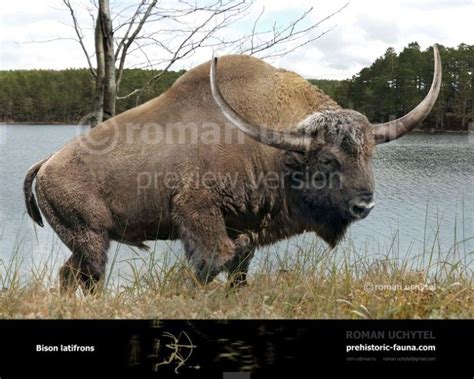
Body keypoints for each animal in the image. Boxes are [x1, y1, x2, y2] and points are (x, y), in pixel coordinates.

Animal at [25, 45, 440, 294]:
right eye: (327, 159)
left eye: (370, 155)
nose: (363, 206)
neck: (276, 154)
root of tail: (45, 165)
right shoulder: (199, 215)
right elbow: (212, 263)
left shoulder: (245, 231)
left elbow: (238, 270)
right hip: (91, 239)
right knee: (87, 276)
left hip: (89, 241)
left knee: (70, 274)